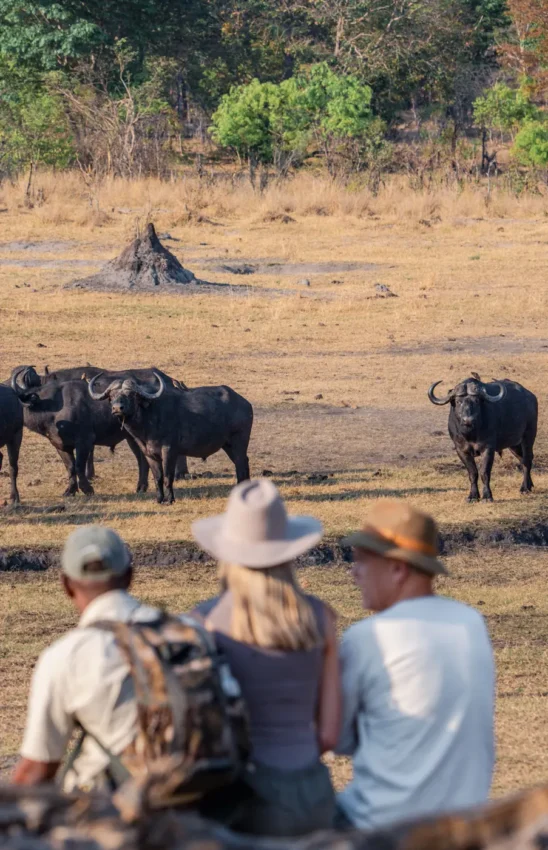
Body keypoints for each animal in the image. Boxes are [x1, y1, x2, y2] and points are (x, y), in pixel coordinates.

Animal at [89, 373, 253, 503]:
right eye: (111, 396)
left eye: (131, 395)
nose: (117, 408)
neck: (149, 419)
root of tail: (245, 403)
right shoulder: (149, 454)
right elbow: (158, 478)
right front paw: (159, 499)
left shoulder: (169, 451)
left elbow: (168, 476)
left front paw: (169, 499)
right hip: (228, 445)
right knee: (243, 462)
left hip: (239, 442)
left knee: (241, 465)